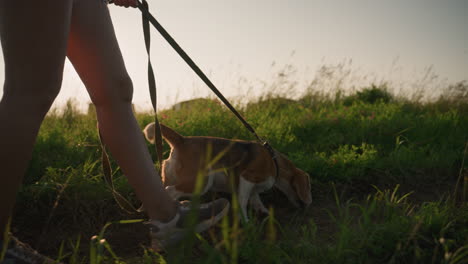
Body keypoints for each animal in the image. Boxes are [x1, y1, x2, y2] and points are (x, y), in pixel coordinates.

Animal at [143, 124, 310, 221]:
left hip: (170, 175)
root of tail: (182, 140)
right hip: (201, 182)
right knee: (170, 191)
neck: (273, 160)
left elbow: (256, 198)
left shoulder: (252, 187)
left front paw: (263, 212)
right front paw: (245, 221)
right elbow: (243, 201)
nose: (305, 207)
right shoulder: (246, 178)